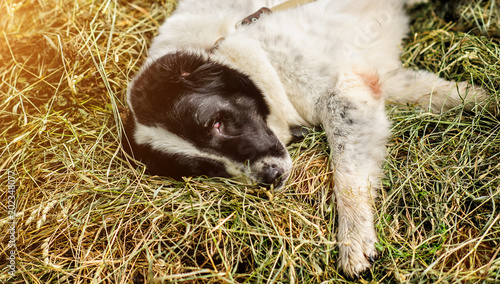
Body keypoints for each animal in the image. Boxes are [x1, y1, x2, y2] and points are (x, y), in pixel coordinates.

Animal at [121, 0, 488, 278]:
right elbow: (436, 93)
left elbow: (347, 177)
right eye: (205, 170)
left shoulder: (341, 94)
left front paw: (353, 240)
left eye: (217, 124)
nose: (270, 178)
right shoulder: (371, 78)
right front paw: (482, 100)